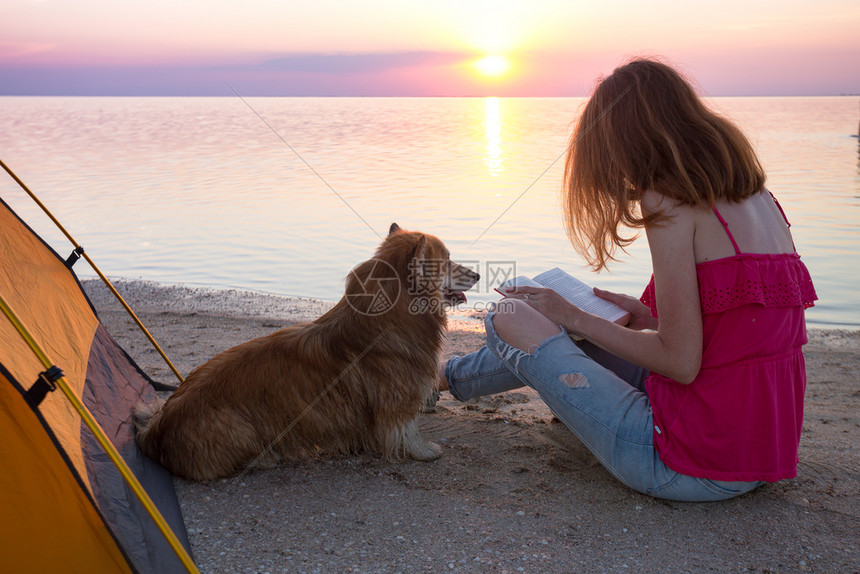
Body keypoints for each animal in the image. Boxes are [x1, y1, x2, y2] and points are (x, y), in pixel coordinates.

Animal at [138, 224, 480, 482]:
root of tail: (153, 432)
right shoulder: (396, 399)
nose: (477, 276)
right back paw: (266, 458)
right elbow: (405, 431)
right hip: (240, 427)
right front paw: (424, 451)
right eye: (448, 261)